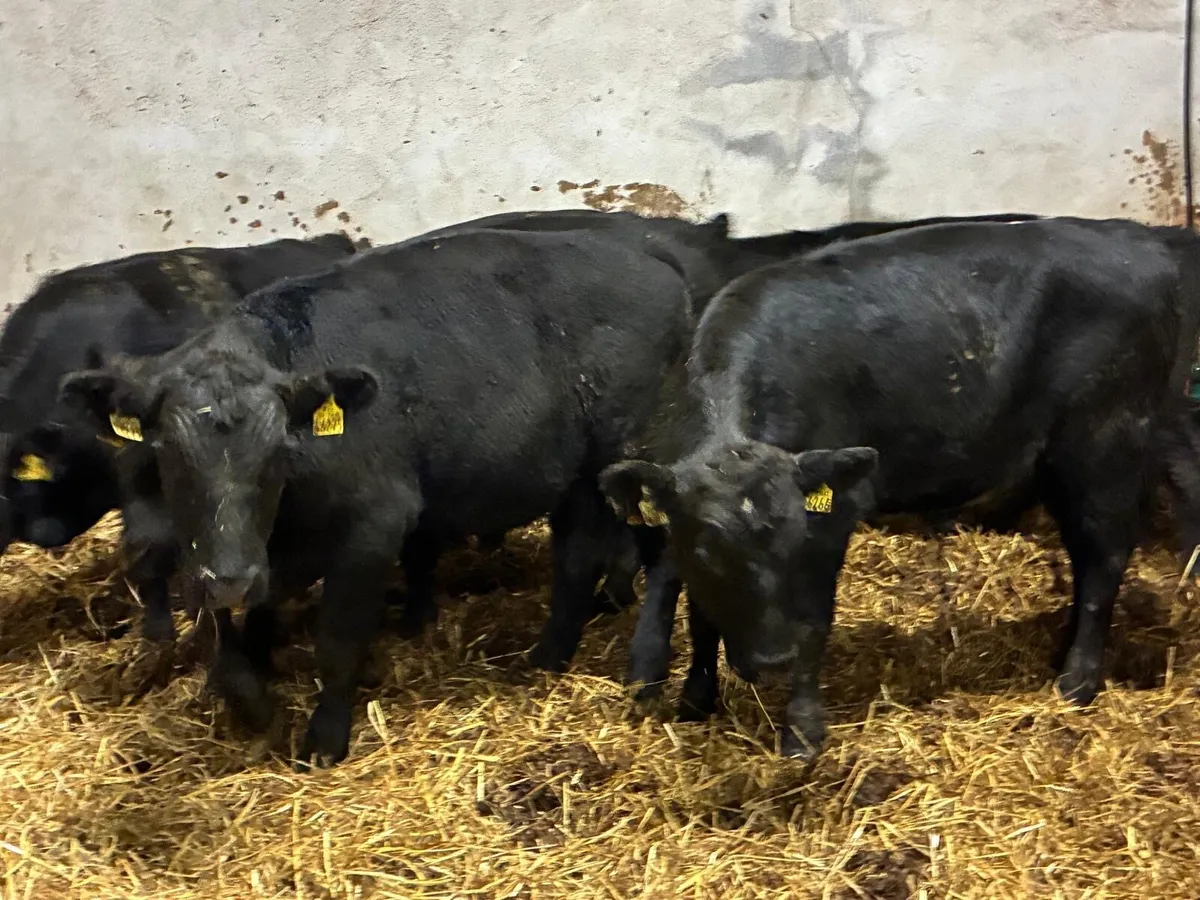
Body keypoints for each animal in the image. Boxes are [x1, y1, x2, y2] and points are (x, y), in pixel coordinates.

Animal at [599, 216, 1200, 760]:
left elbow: (814, 619)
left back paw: (1078, 681)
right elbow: (701, 616)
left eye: (798, 542)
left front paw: (801, 733)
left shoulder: (836, 513)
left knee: (1104, 559)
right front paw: (696, 700)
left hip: (1105, 444)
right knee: (1084, 555)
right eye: (707, 550)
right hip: (1060, 460)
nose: (772, 662)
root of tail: (1141, 244)